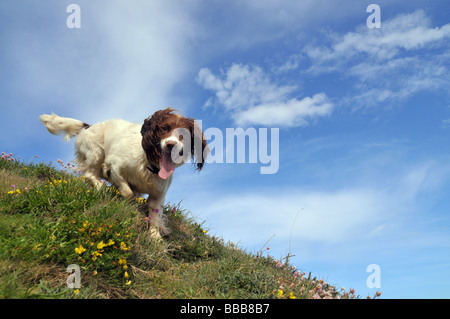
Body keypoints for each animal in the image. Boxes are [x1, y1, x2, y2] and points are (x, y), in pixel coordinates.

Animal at [38, 109, 207, 239]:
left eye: (184, 135)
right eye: (164, 128)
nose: (171, 144)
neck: (149, 165)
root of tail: (88, 126)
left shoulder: (158, 195)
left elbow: (155, 215)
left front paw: (155, 237)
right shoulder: (115, 165)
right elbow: (127, 191)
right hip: (96, 153)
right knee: (89, 174)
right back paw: (101, 187)